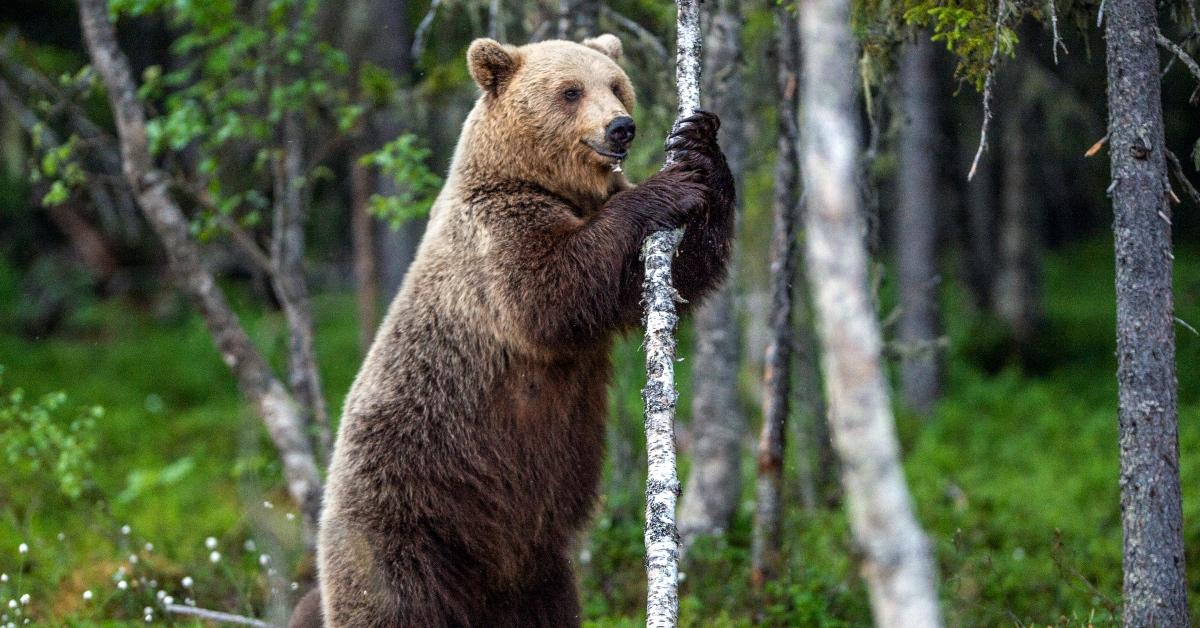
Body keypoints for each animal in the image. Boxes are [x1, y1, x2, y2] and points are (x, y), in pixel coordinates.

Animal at [295, 34, 734, 628]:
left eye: (615, 85)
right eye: (570, 91)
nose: (621, 127)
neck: (541, 180)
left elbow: (672, 278)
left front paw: (700, 148)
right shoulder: (496, 237)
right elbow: (551, 292)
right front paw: (664, 188)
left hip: (534, 565)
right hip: (408, 516)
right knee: (392, 601)